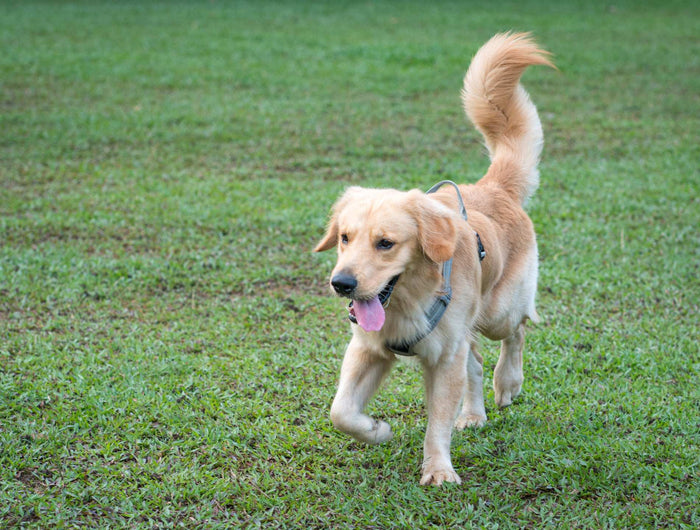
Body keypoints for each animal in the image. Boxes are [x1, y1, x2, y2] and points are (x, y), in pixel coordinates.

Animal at [316, 33, 552, 484]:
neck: (408, 299)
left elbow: (437, 421)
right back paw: (475, 413)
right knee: (475, 361)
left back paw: (508, 383)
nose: (342, 284)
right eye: (344, 238)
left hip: (498, 311)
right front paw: (376, 429)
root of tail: (493, 187)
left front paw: (439, 470)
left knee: (516, 331)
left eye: (385, 243)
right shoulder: (368, 349)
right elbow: (342, 412)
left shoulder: (443, 358)